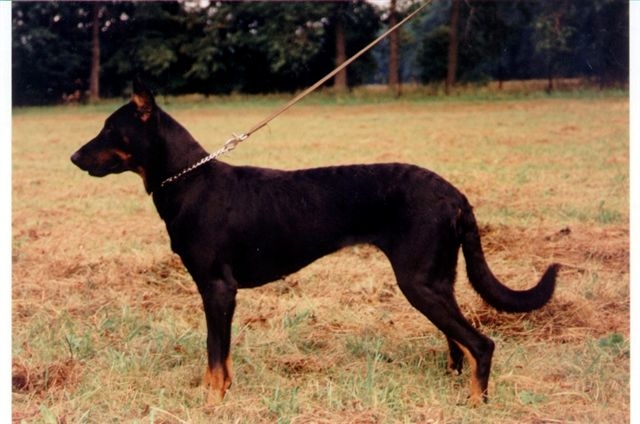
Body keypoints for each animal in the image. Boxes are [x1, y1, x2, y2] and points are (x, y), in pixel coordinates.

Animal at [72, 79, 556, 408]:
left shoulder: (217, 290)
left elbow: (214, 355)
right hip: (437, 281)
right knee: (460, 341)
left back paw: (475, 402)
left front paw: (212, 402)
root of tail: (454, 195)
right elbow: (220, 355)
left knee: (482, 344)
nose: (74, 157)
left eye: (110, 130)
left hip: (419, 283)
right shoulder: (220, 294)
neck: (189, 182)